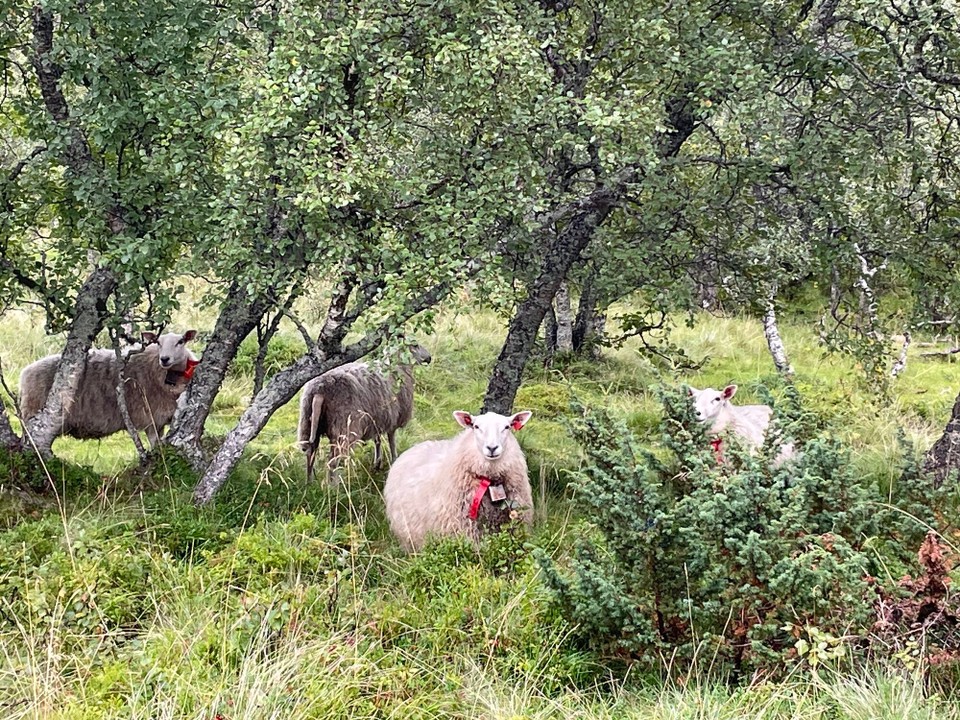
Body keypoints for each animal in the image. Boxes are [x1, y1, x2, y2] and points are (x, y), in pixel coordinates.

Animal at [19, 332, 200, 450]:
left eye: (181, 341)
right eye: (158, 342)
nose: (165, 359)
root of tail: (25, 373)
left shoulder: (160, 419)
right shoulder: (151, 418)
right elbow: (155, 444)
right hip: (33, 416)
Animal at [298, 344, 434, 480]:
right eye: (415, 345)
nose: (429, 358)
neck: (398, 366)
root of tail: (320, 389)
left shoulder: (377, 418)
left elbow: (377, 439)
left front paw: (377, 463)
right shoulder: (393, 418)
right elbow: (392, 440)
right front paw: (394, 460)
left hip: (308, 421)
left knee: (310, 451)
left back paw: (310, 481)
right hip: (345, 427)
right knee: (333, 461)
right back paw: (334, 484)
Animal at [382, 408, 532, 556]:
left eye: (507, 427)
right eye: (476, 426)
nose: (492, 448)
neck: (490, 480)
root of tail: (416, 446)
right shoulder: (463, 530)